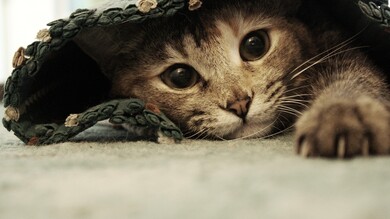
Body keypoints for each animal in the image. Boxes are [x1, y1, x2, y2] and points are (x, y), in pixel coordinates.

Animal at [74, 0, 390, 157]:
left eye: (255, 45)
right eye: (180, 77)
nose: (240, 104)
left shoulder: (337, 48)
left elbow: (353, 79)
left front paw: (343, 116)